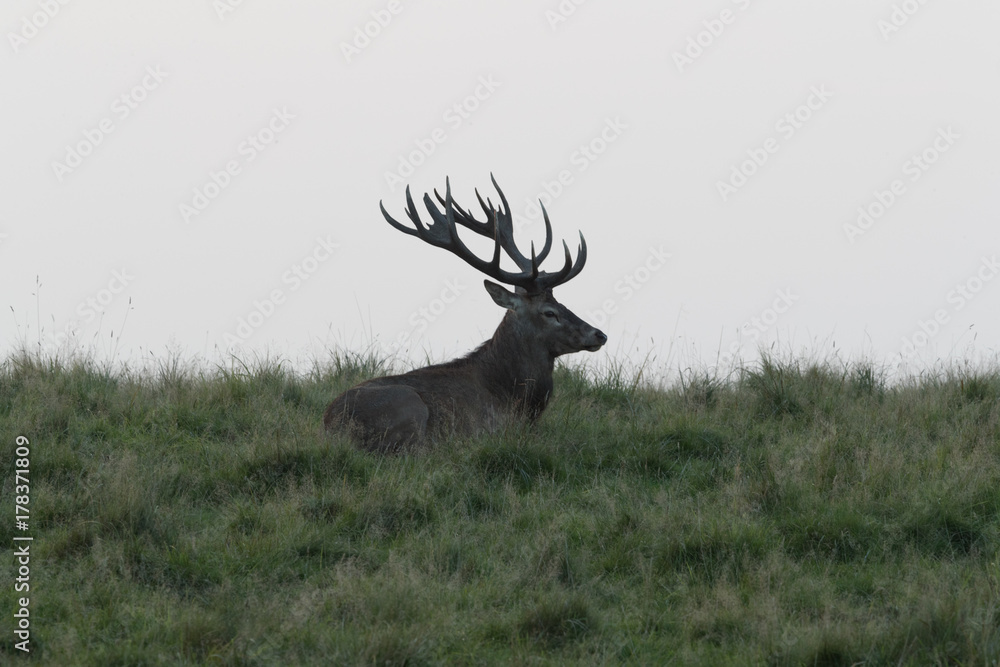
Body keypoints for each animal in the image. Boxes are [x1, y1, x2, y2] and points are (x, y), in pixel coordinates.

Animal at [323, 176, 607, 452]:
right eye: (549, 313)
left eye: (563, 304)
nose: (599, 334)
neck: (515, 398)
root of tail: (332, 427)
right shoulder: (494, 429)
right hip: (408, 407)